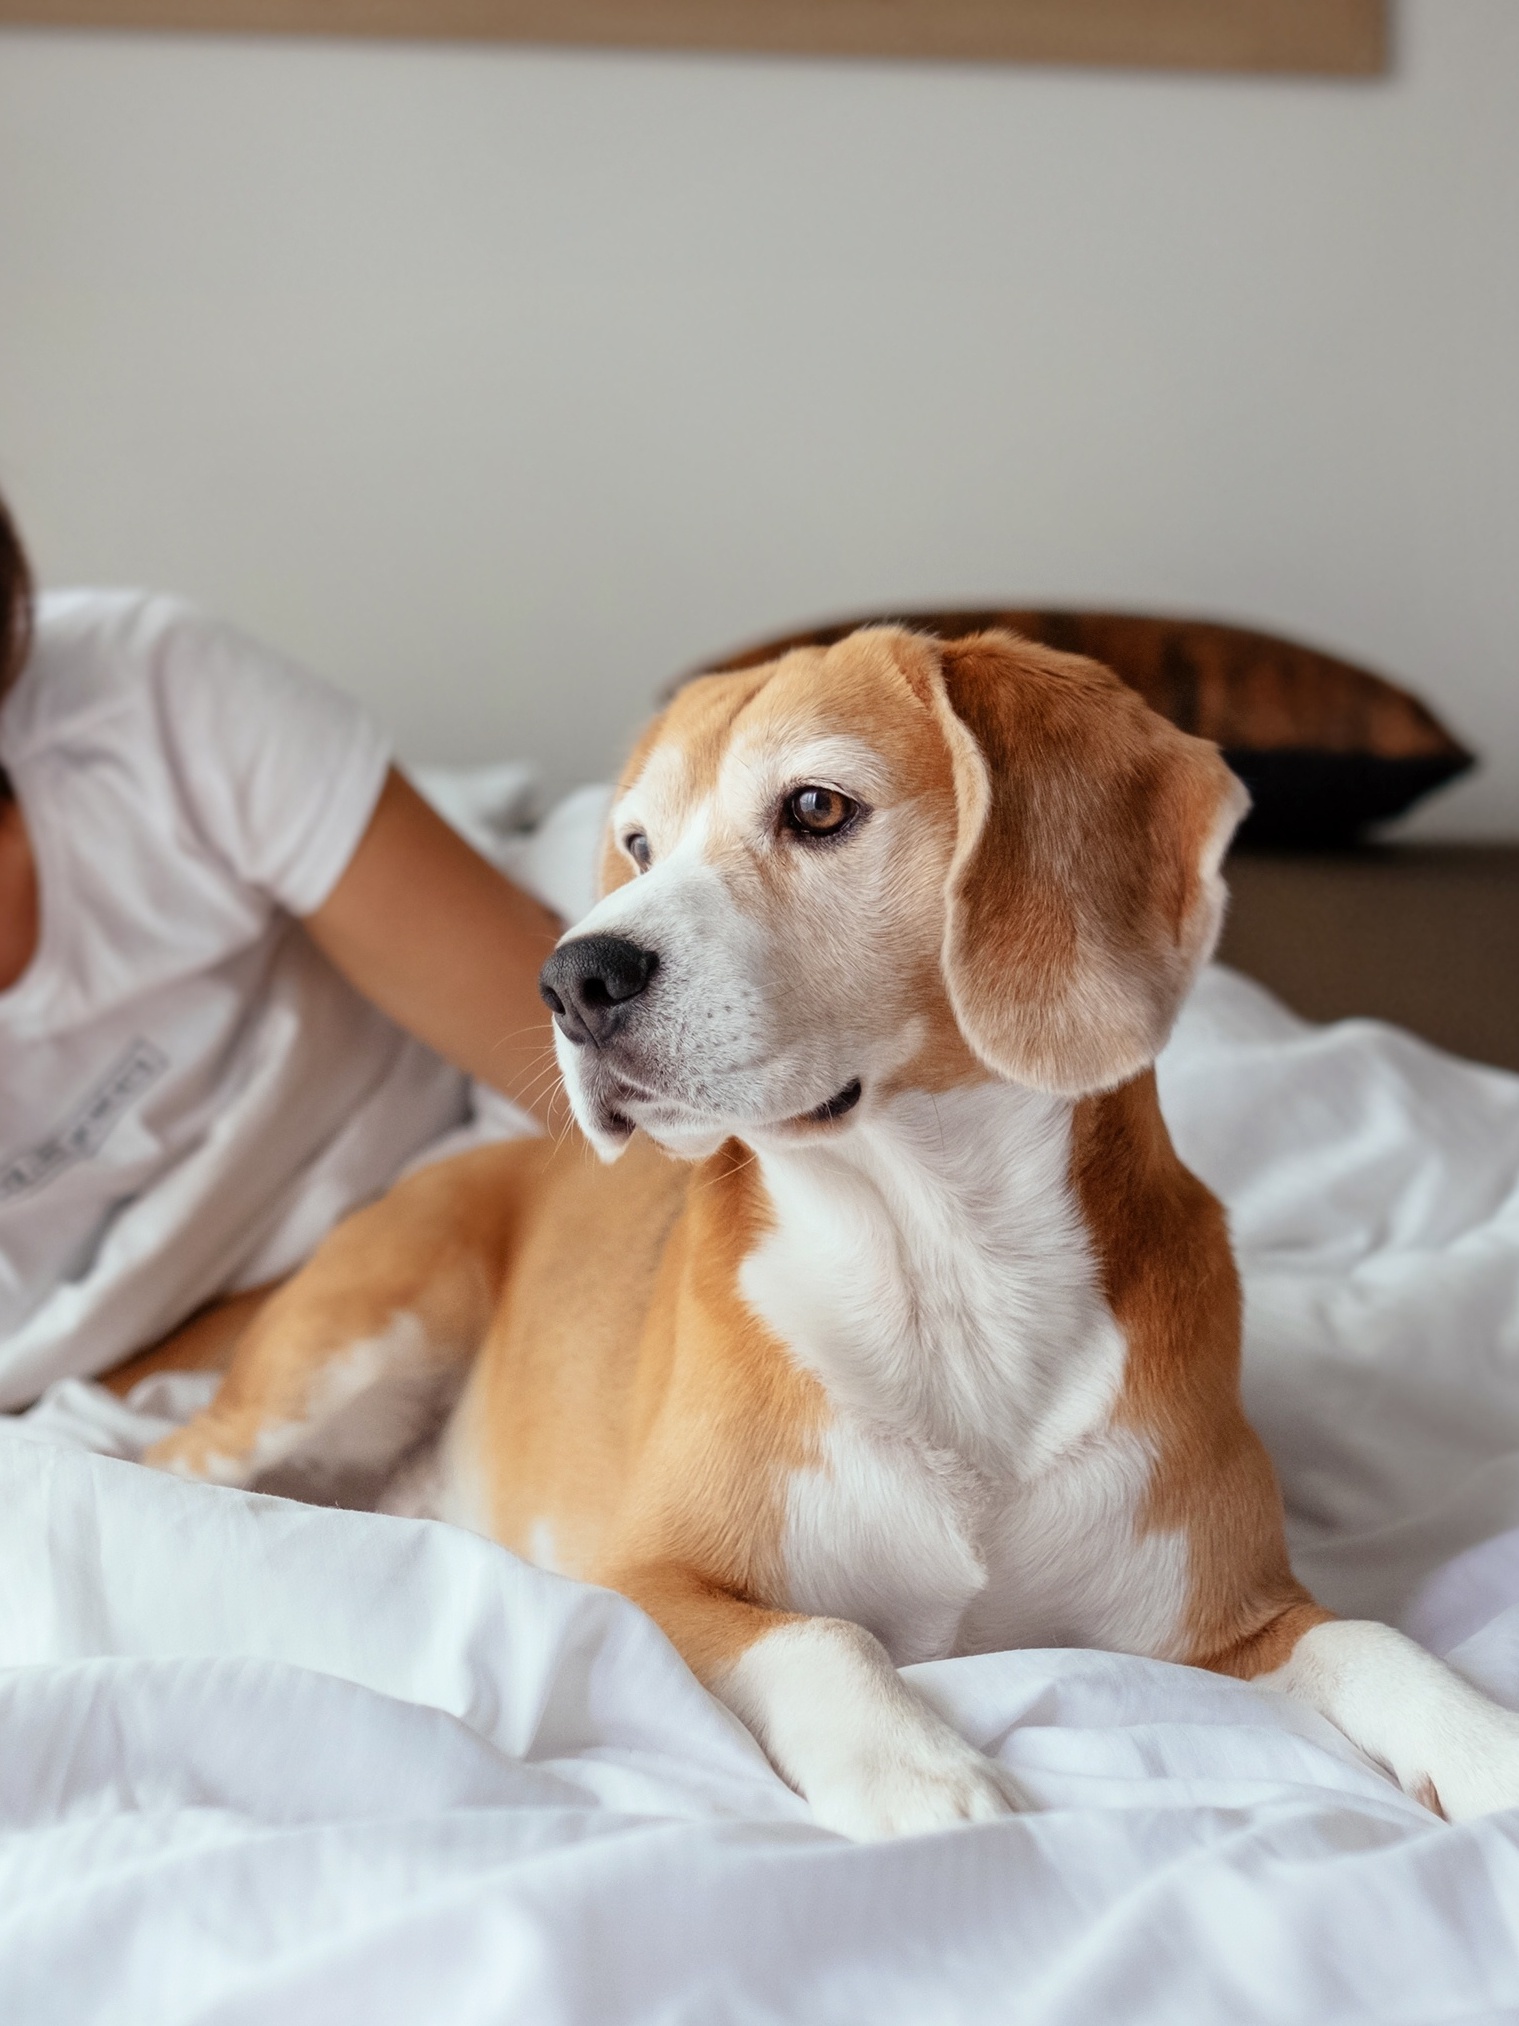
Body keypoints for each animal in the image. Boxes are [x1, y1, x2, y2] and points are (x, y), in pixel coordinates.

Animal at [148, 628, 1519, 1839]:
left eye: (815, 809)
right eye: (638, 843)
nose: (571, 978)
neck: (941, 1264)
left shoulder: (1232, 1619)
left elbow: (1374, 1637)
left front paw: (1481, 1742)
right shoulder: (645, 1581)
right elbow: (825, 1633)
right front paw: (918, 1767)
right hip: (354, 1346)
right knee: (171, 1462)